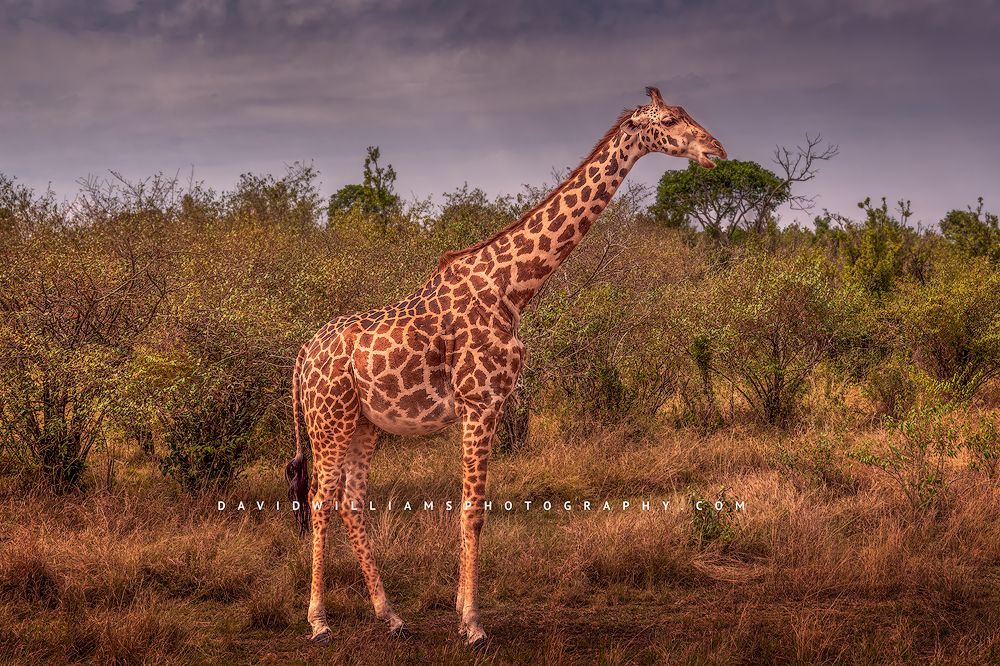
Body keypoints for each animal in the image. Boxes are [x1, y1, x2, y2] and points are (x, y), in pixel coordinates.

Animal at [286, 86, 726, 648]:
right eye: (669, 120)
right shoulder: (481, 402)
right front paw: (473, 625)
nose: (715, 151)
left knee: (351, 502)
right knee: (320, 499)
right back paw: (318, 620)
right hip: (330, 421)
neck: (512, 291)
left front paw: (460, 611)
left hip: (365, 425)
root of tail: (302, 357)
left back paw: (392, 616)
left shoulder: (485, 406)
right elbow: (474, 511)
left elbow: (471, 509)